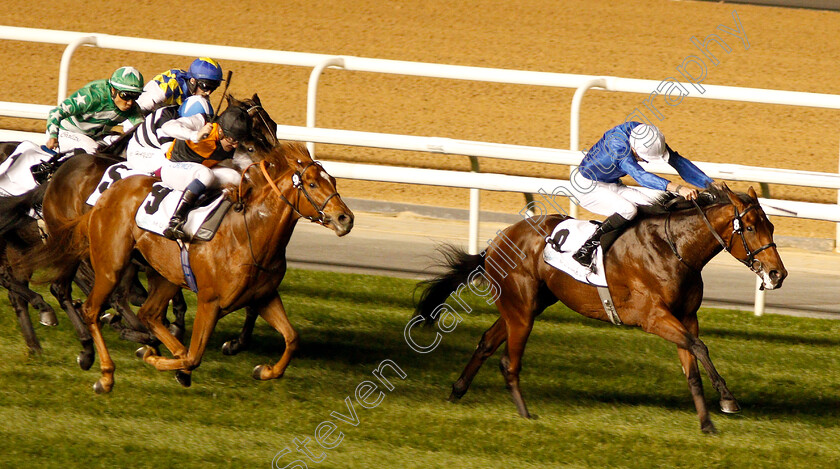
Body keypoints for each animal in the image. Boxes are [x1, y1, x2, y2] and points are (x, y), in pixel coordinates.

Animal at [55, 141, 352, 394]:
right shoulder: (211, 301)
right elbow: (194, 356)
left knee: (150, 314)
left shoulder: (264, 295)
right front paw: (158, 359)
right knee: (92, 310)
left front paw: (265, 370)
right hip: (111, 266)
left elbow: (292, 338)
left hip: (165, 274)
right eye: (312, 183)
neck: (249, 232)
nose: (345, 218)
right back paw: (106, 375)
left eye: (333, 181)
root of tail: (109, 192)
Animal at [414, 183, 788, 432]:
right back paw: (525, 414)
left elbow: (693, 365)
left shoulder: (686, 316)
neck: (674, 248)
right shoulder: (653, 317)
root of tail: (496, 242)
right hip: (521, 308)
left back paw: (457, 392)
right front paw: (728, 400)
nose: (777, 274)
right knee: (509, 360)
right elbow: (699, 347)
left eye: (770, 225)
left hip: (526, 306)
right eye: (750, 227)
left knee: (487, 343)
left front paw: (707, 424)